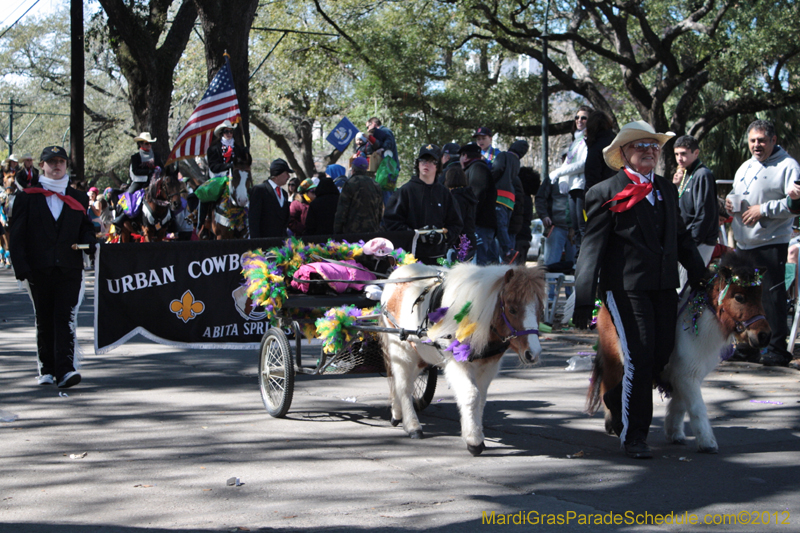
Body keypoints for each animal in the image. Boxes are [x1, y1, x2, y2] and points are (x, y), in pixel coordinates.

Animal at [380, 260, 544, 454]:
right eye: (512, 309)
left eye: (540, 309)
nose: (533, 353)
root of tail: (398, 273)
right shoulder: (457, 363)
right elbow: (471, 395)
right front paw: (474, 441)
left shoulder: (488, 366)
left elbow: (481, 399)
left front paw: (474, 433)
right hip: (401, 349)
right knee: (403, 385)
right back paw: (413, 426)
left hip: (419, 353)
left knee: (406, 381)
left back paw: (397, 413)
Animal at [588, 251, 768, 450]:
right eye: (739, 297)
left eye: (760, 296)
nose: (764, 336)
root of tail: (601, 308)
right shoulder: (687, 375)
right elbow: (697, 407)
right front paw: (707, 442)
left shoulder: (685, 375)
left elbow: (680, 405)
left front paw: (674, 433)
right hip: (614, 360)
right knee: (608, 386)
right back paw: (613, 423)